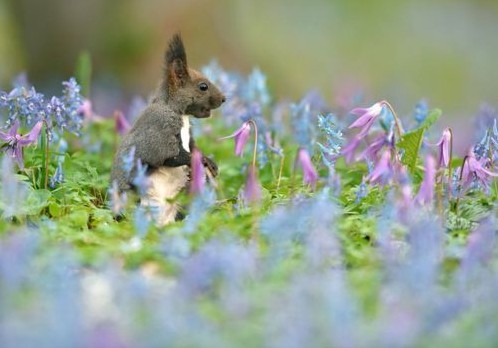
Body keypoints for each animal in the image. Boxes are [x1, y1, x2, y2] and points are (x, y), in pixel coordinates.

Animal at [111, 34, 226, 226]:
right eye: (203, 86)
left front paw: (210, 162)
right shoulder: (160, 130)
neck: (179, 113)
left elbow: (193, 147)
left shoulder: (189, 137)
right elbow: (171, 156)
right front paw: (202, 160)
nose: (224, 98)